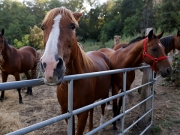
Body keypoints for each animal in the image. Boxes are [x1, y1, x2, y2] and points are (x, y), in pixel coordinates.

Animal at [40, 7, 112, 135]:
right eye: (43, 27)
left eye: (72, 26)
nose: (50, 66)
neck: (72, 83)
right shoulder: (66, 112)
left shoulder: (82, 113)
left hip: (104, 94)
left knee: (103, 107)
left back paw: (101, 125)